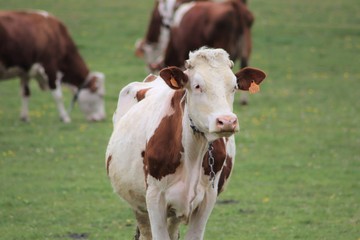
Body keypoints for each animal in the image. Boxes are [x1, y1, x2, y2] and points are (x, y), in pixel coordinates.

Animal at [105, 47, 266, 239]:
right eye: (197, 86)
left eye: (234, 86)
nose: (227, 121)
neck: (193, 153)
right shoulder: (154, 199)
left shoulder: (207, 199)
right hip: (139, 205)